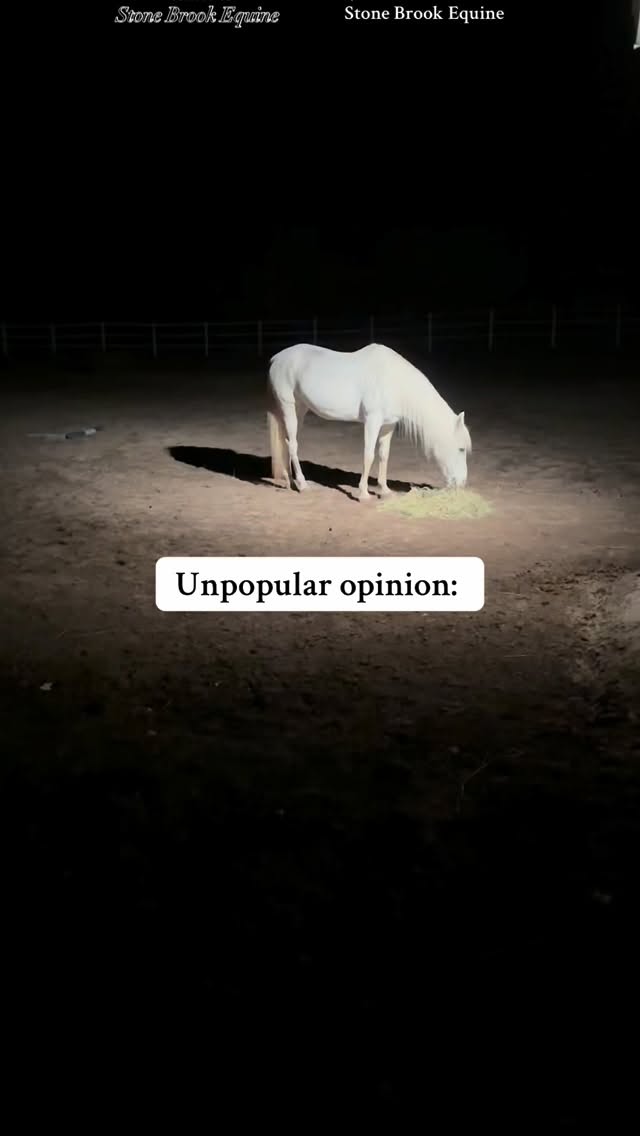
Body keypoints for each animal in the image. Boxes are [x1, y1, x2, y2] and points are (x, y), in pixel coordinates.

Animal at [266, 342, 471, 501]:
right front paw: (363, 493)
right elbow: (369, 455)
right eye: (461, 449)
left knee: (286, 441)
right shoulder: (372, 421)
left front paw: (385, 490)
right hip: (288, 405)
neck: (393, 381)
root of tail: (276, 358)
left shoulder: (388, 425)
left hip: (299, 409)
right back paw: (302, 484)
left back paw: (288, 479)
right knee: (292, 444)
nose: (462, 483)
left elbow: (383, 455)